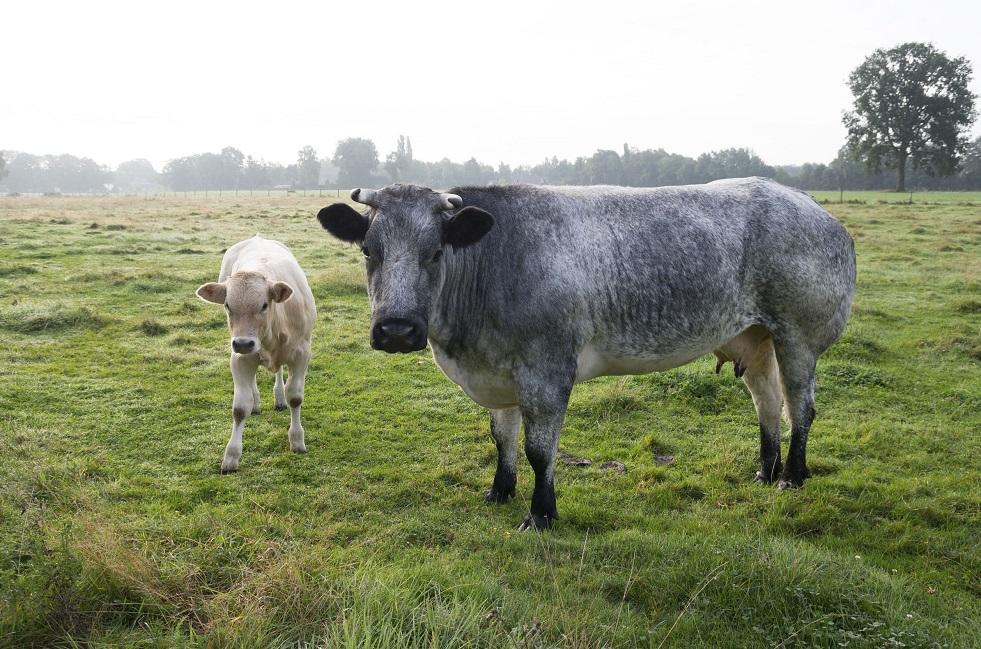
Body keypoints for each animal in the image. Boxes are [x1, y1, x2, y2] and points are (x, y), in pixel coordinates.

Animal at [198, 234, 318, 470]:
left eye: (264, 305)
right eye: (227, 305)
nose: (243, 343)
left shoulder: (301, 354)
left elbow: (295, 397)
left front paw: (297, 440)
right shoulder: (238, 359)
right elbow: (239, 408)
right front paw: (231, 456)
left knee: (279, 372)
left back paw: (279, 398)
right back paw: (256, 401)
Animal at [318, 178, 852, 532]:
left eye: (434, 253)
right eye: (368, 250)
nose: (397, 329)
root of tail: (809, 204)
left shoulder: (546, 370)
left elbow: (539, 450)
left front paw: (541, 513)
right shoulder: (499, 373)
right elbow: (502, 438)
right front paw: (499, 491)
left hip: (799, 336)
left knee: (800, 406)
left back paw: (792, 477)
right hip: (754, 337)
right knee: (767, 403)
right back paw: (765, 470)